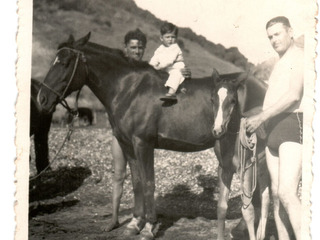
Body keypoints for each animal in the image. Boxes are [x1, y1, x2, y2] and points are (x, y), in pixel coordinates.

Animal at [37, 33, 268, 240]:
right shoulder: (128, 145)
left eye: (65, 63)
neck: (129, 89)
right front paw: (134, 223)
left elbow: (149, 183)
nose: (42, 98)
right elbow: (137, 182)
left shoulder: (143, 143)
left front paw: (148, 228)